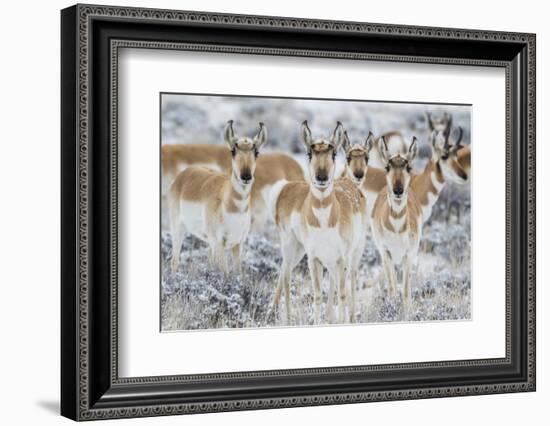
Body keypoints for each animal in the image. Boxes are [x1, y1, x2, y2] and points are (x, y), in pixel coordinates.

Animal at [170, 120, 270, 272]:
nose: (246, 176)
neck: (234, 208)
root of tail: (185, 174)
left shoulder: (238, 245)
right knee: (174, 261)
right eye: (233, 151)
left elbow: (237, 272)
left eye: (256, 152)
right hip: (178, 229)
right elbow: (225, 273)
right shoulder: (219, 244)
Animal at [270, 121, 368, 324]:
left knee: (351, 280)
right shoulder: (313, 259)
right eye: (309, 153)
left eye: (333, 154)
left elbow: (341, 294)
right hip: (292, 246)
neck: (324, 222)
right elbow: (317, 295)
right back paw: (287, 319)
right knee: (286, 275)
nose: (321, 177)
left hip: (351, 252)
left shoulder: (339, 259)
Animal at [374, 135, 424, 304]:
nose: (398, 190)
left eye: (408, 167)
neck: (396, 227)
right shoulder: (386, 253)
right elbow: (392, 288)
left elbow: (406, 292)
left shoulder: (409, 255)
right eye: (387, 167)